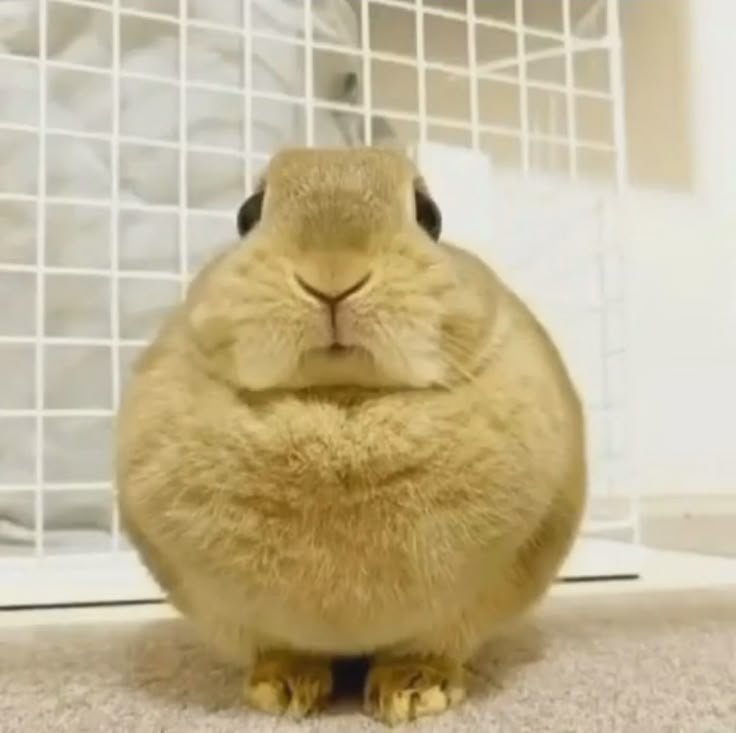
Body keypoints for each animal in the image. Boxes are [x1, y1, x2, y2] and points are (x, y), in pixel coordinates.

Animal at [116, 147, 586, 726]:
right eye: (248, 213)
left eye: (429, 215)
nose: (332, 275)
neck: (341, 402)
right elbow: (281, 648)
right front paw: (282, 691)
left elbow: (430, 646)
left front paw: (414, 693)